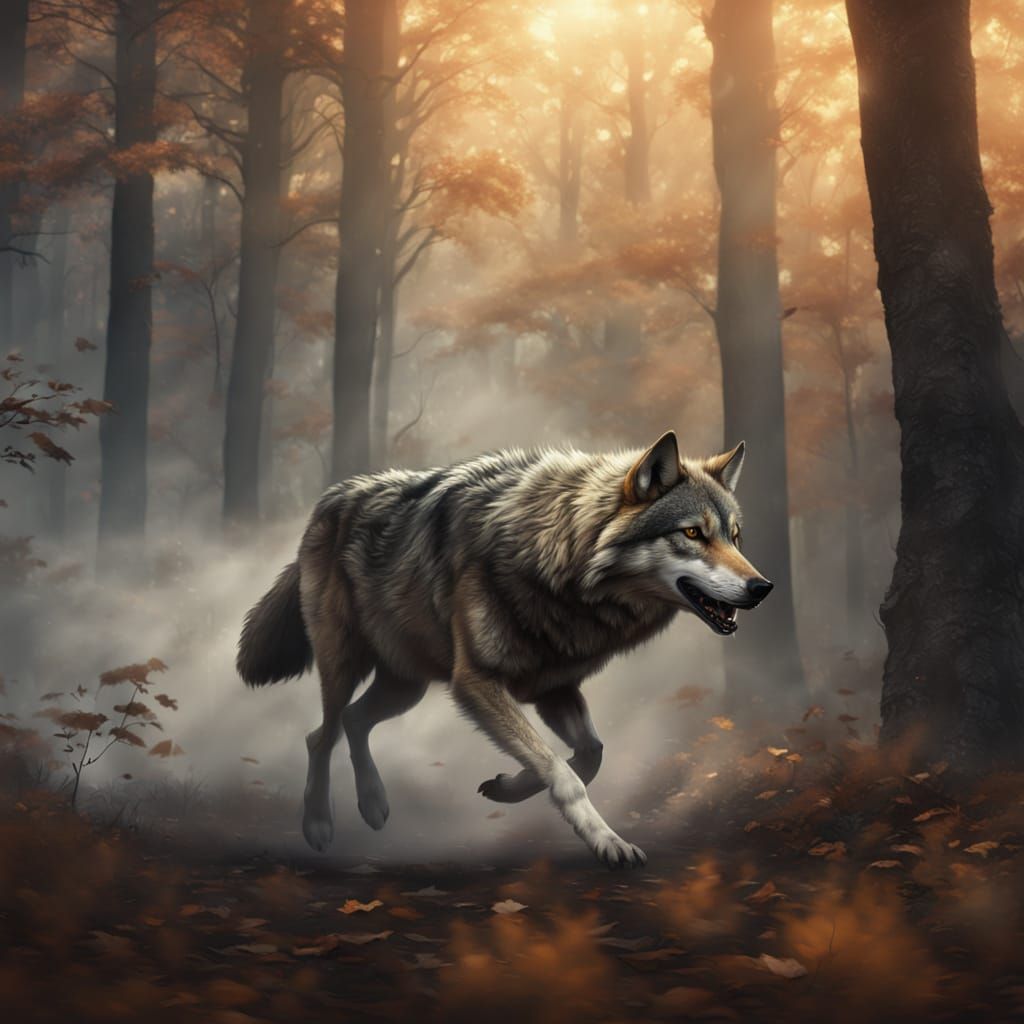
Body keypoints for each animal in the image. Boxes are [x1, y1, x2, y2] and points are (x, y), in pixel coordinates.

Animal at [237, 430, 773, 869]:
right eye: (692, 533)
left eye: (735, 536)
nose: (762, 588)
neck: (557, 560)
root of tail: (331, 496)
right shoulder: (475, 683)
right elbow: (563, 771)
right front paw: (608, 842)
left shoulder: (554, 687)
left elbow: (587, 755)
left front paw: (507, 788)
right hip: (346, 665)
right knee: (321, 735)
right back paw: (318, 824)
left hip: (406, 685)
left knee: (352, 722)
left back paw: (373, 803)